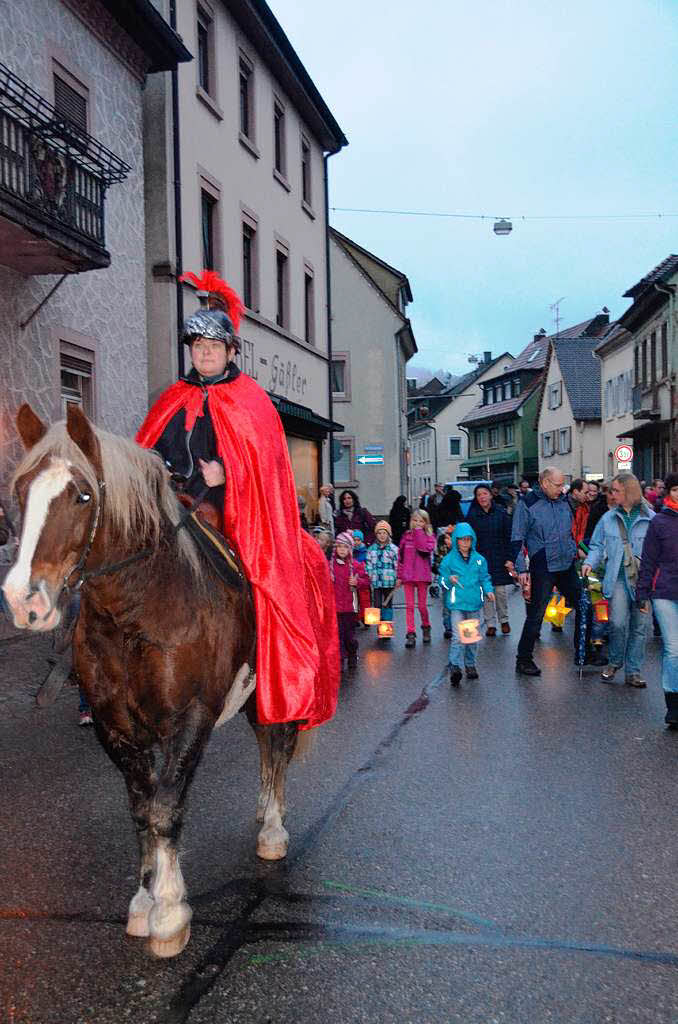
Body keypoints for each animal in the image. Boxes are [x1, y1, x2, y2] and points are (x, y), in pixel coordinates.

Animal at [2, 401, 305, 958]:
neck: (138, 612)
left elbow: (167, 808)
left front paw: (169, 913)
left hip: (275, 687)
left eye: (82, 495)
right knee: (264, 745)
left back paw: (273, 829)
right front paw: (144, 902)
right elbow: (143, 807)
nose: (24, 600)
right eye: (21, 491)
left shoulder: (192, 716)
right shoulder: (114, 724)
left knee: (278, 743)